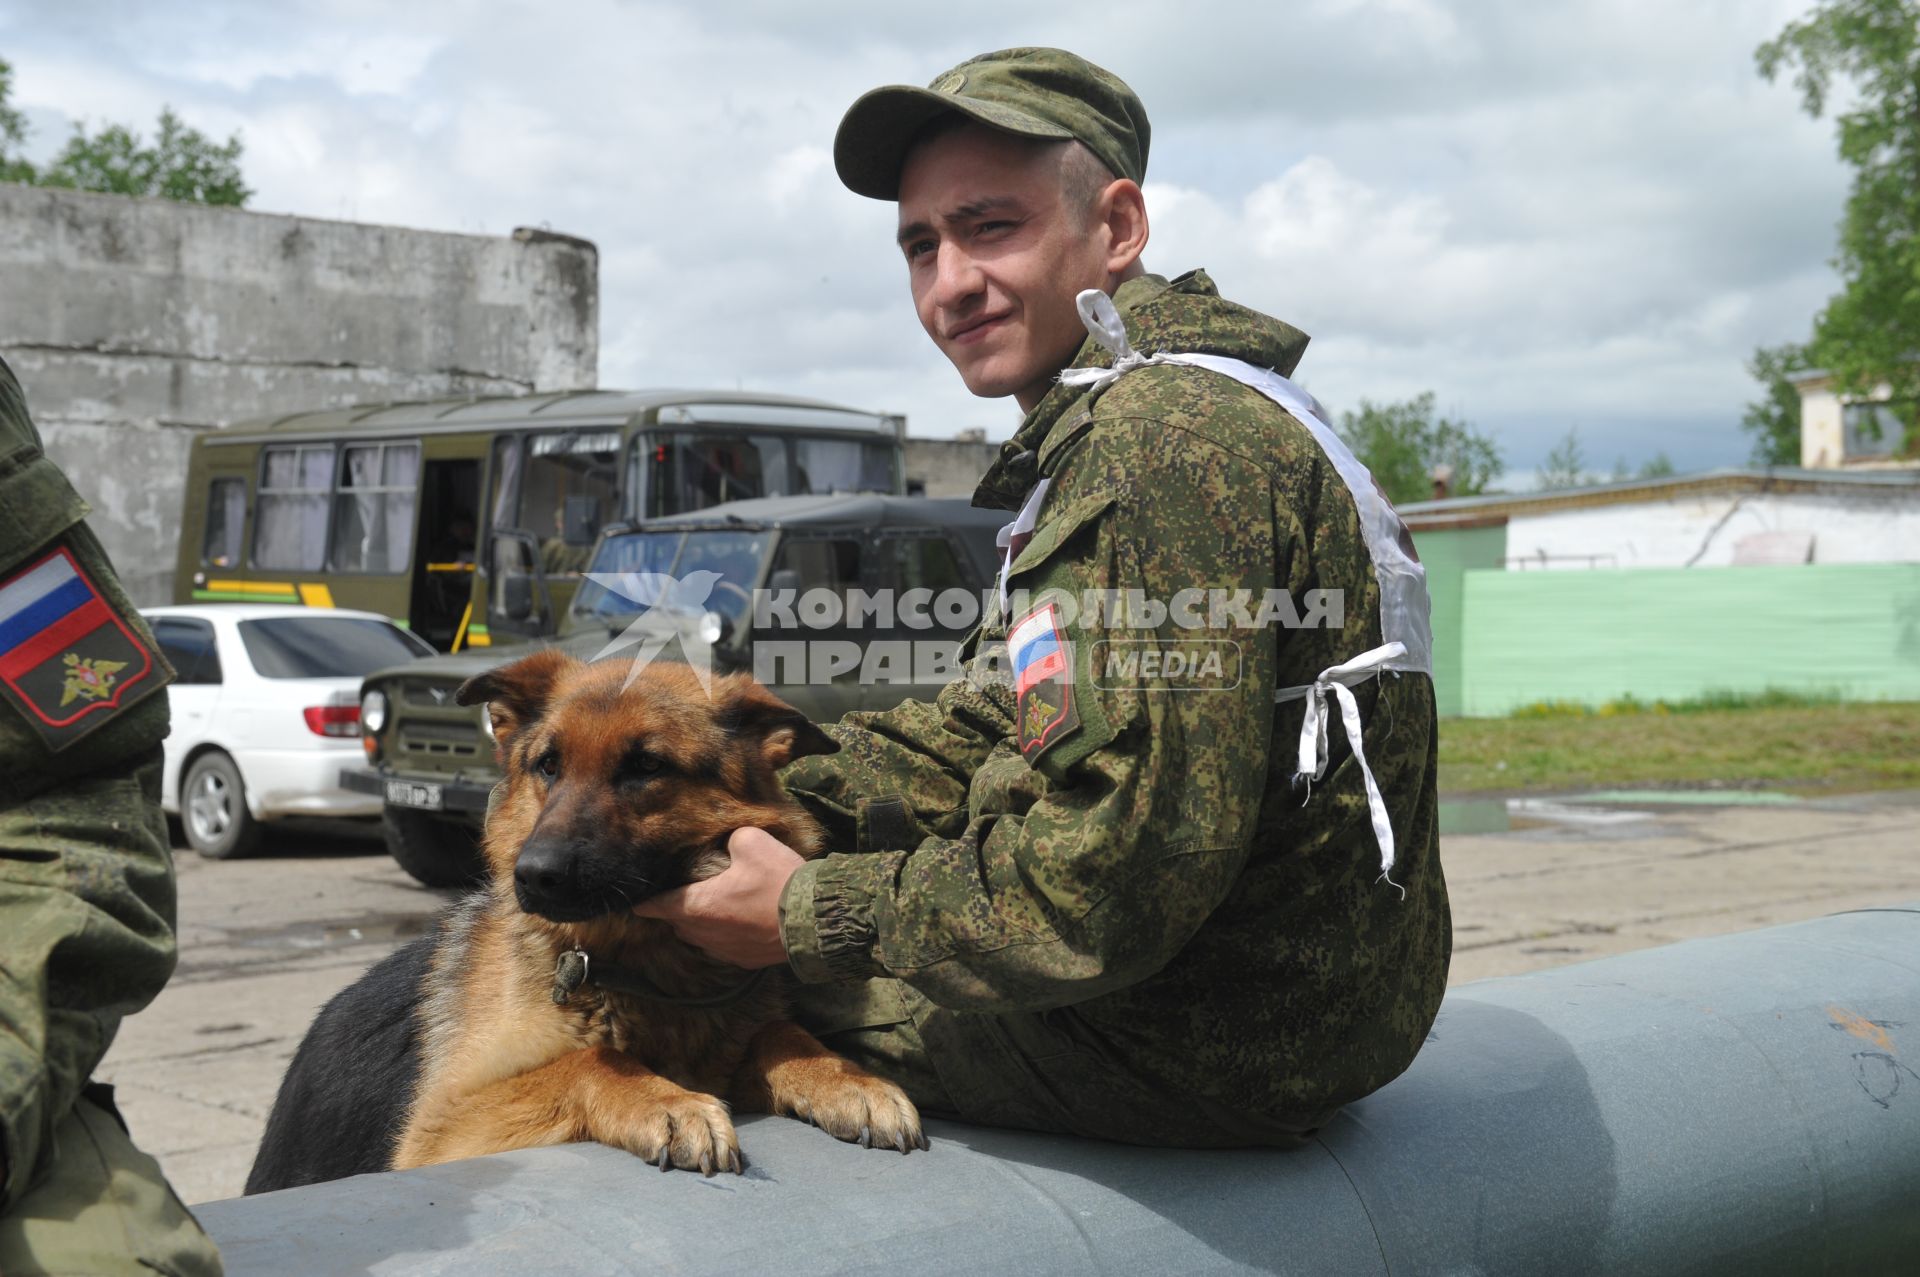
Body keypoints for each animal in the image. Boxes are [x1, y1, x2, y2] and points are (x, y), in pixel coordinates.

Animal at [245, 652, 921, 1190]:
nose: (534, 875)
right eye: (548, 765)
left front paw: (847, 1078)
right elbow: (586, 1061)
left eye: (647, 766)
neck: (644, 974)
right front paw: (668, 1100)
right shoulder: (441, 1132)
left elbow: (778, 1032)